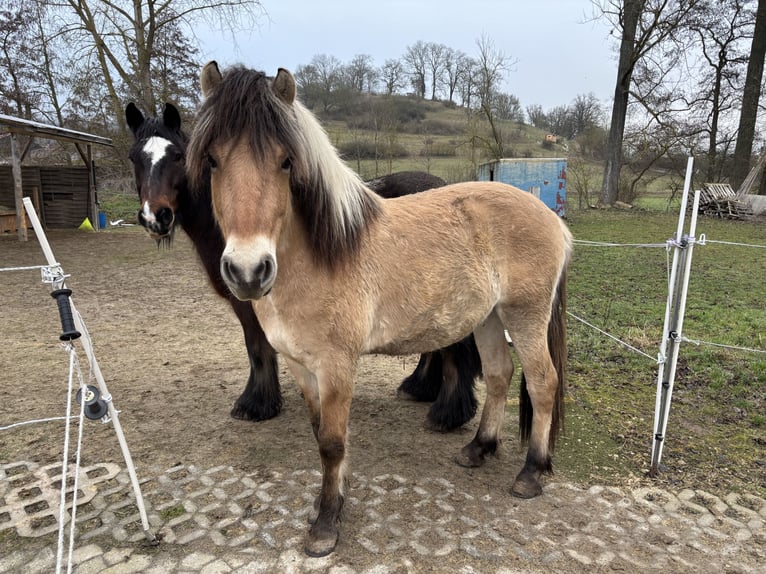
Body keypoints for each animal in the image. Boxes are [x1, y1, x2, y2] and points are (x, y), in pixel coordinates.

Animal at [125, 103, 481, 430]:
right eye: (134, 158)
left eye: (177, 156)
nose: (156, 217)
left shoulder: (249, 299)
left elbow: (256, 348)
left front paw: (255, 404)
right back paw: (421, 389)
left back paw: (448, 413)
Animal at [187, 62, 572, 557]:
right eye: (212, 160)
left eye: (286, 161)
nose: (249, 271)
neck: (323, 254)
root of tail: (553, 220)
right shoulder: (299, 365)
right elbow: (321, 434)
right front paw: (331, 502)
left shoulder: (336, 365)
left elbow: (332, 443)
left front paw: (326, 526)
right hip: (488, 319)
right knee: (500, 375)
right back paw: (478, 449)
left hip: (524, 316)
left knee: (543, 383)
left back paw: (531, 472)